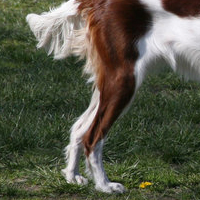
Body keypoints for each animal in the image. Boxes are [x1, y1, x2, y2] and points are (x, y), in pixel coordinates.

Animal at [26, 0, 200, 194]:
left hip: (109, 83)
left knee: (79, 128)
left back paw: (72, 176)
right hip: (123, 80)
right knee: (92, 137)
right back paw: (104, 185)